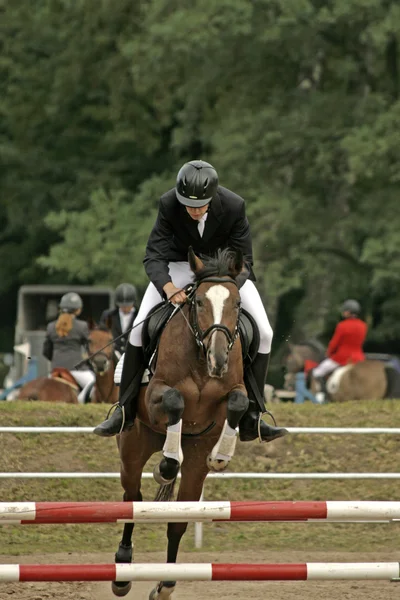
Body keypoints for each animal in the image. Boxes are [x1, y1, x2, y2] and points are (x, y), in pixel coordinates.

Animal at [112, 246, 256, 596]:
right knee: (132, 499)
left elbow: (238, 402)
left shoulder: (233, 392)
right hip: (133, 448)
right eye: (199, 302)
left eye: (237, 304)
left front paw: (221, 456)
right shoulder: (156, 396)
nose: (218, 360)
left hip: (193, 466)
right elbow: (175, 401)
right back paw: (122, 572)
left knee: (178, 518)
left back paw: (165, 584)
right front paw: (165, 466)